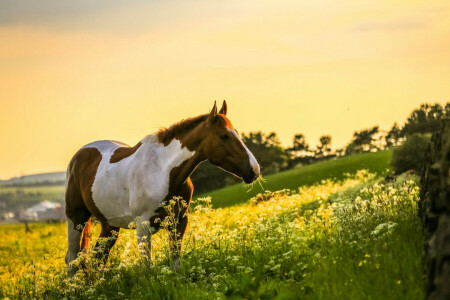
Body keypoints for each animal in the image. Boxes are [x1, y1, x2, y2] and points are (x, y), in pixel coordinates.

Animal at [63, 101, 260, 276]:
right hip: (77, 219)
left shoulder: (179, 221)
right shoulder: (143, 227)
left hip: (109, 225)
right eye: (224, 136)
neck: (163, 171)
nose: (254, 170)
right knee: (72, 259)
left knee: (98, 257)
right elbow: (148, 267)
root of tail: (79, 157)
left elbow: (176, 260)